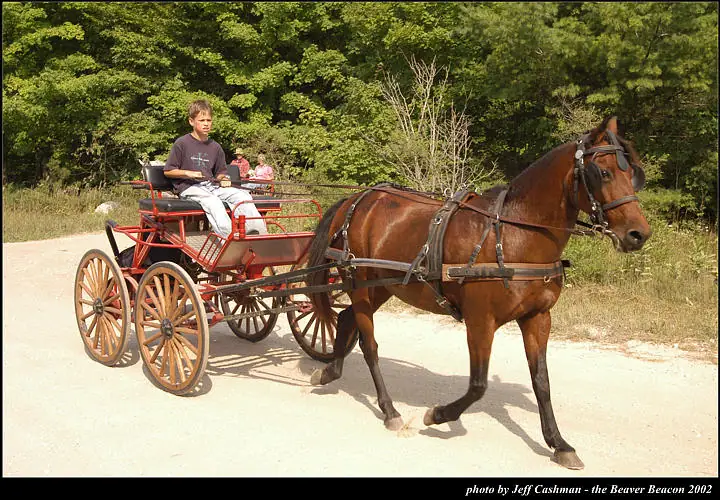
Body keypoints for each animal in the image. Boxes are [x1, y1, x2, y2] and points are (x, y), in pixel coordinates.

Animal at [304, 116, 651, 469]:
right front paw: (437, 414)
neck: (513, 235)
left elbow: (541, 382)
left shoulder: (538, 317)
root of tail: (358, 200)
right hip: (359, 281)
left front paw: (559, 444)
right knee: (369, 344)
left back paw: (330, 371)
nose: (638, 234)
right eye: (603, 173)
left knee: (346, 318)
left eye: (634, 174)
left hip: (383, 284)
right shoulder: (480, 320)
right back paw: (388, 409)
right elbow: (478, 385)